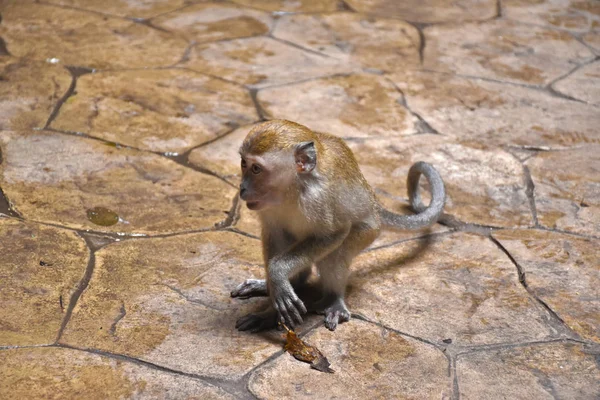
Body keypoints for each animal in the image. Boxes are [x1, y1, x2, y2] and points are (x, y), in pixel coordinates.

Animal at [230, 120, 446, 332]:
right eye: (244, 163)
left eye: (256, 169)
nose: (243, 188)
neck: (293, 188)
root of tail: (375, 206)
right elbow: (274, 233)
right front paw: (271, 305)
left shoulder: (318, 200)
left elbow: (333, 234)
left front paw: (277, 274)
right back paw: (292, 284)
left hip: (368, 231)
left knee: (336, 253)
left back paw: (333, 299)